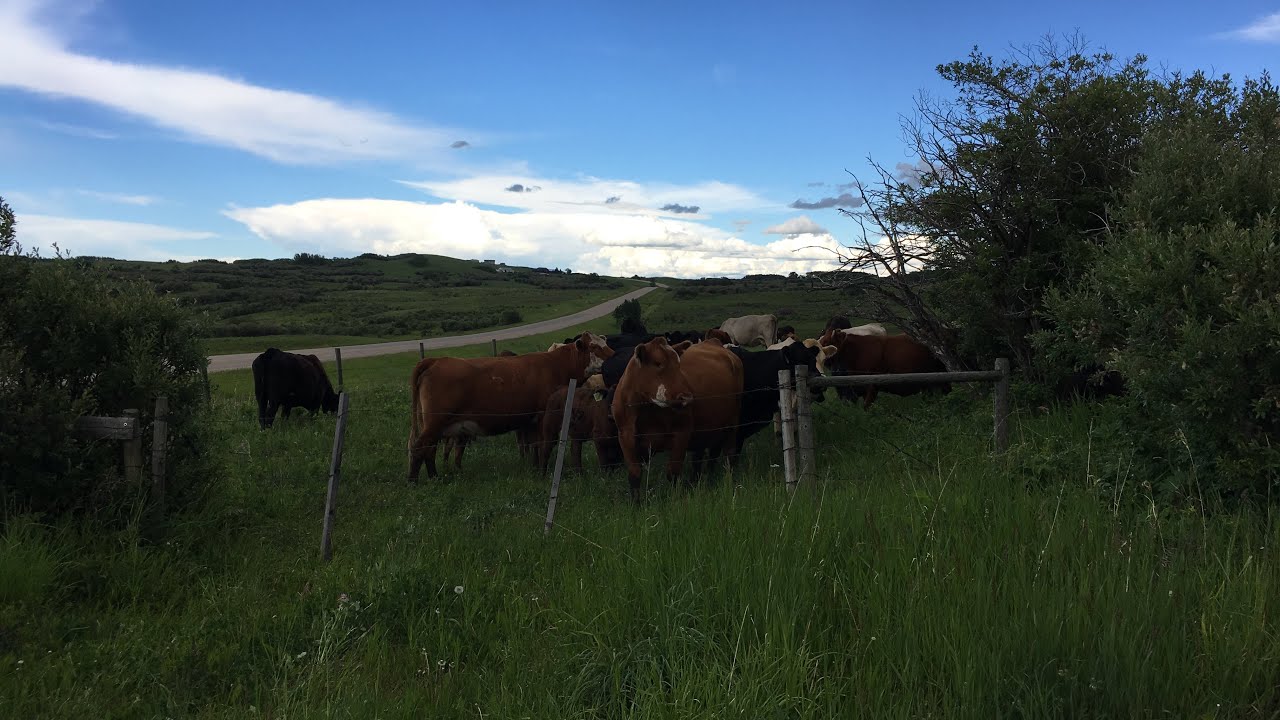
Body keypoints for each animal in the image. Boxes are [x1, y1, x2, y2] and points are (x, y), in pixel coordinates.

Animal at [407, 333, 613, 480]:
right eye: (594, 346)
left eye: (605, 343)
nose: (614, 355)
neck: (555, 365)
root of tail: (435, 360)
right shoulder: (543, 417)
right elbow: (543, 444)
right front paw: (541, 472)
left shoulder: (531, 421)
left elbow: (534, 446)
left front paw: (533, 467)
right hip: (435, 422)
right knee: (419, 448)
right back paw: (414, 482)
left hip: (436, 426)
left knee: (429, 449)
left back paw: (434, 477)